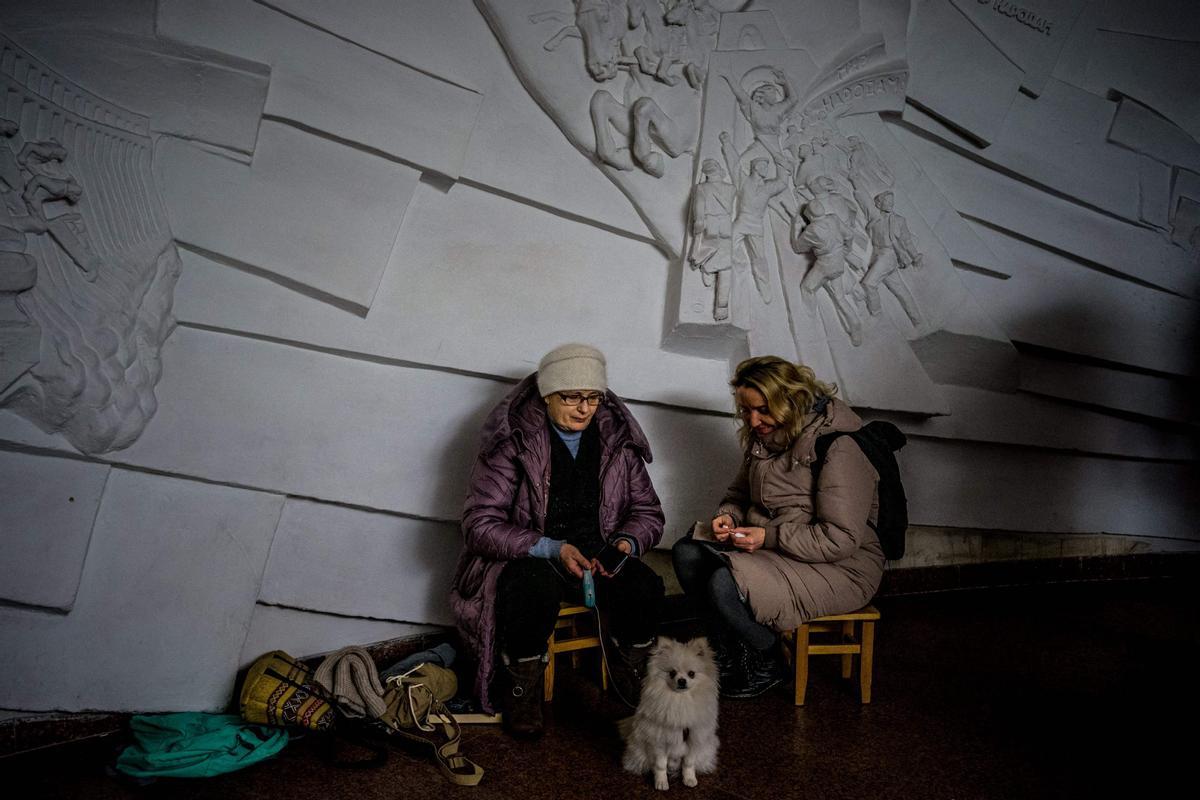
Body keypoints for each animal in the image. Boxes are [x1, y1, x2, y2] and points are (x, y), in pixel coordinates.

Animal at [624, 633, 715, 791]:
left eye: (691, 674)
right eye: (672, 673)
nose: (682, 680)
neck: (680, 699)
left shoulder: (694, 739)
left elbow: (688, 763)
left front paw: (689, 779)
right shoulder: (659, 741)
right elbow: (660, 765)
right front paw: (661, 782)